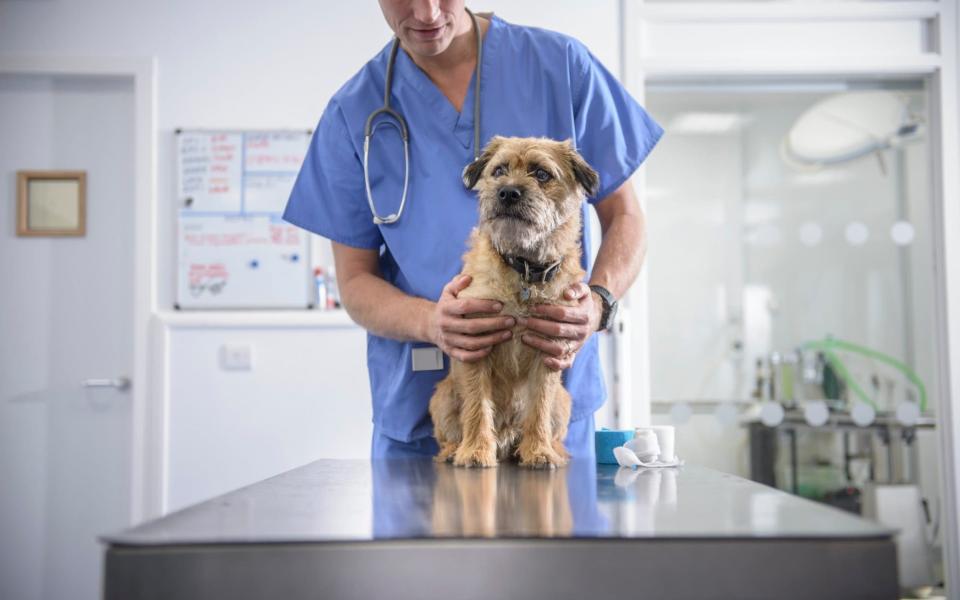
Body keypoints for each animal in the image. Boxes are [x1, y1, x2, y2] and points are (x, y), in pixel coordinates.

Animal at [430, 137, 596, 468]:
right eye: (499, 171)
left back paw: (551, 448)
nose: (507, 192)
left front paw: (539, 450)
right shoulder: (475, 345)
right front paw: (476, 450)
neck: (524, 270)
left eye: (542, 174)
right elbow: (477, 406)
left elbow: (539, 406)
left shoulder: (550, 349)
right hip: (442, 397)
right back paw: (454, 450)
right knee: (447, 434)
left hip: (564, 401)